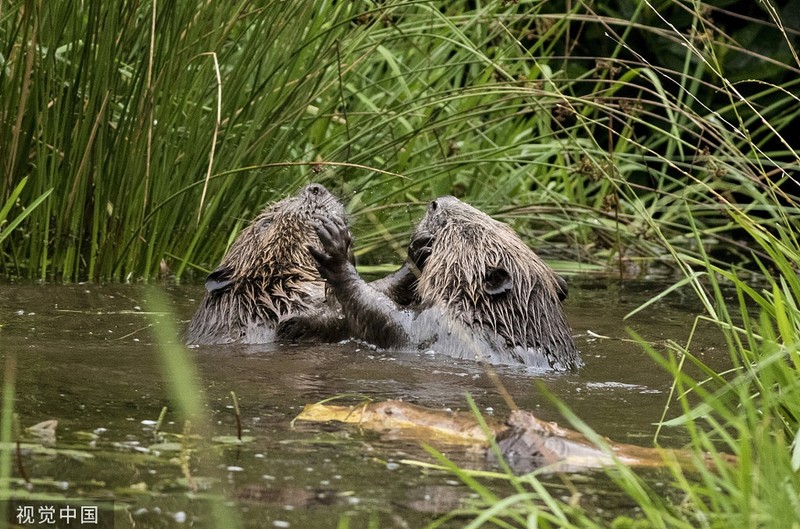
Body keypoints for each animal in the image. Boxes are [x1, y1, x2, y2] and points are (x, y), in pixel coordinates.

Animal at [306, 195, 580, 372]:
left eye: (467, 230)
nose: (437, 201)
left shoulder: (440, 326)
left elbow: (384, 318)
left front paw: (336, 248)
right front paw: (418, 252)